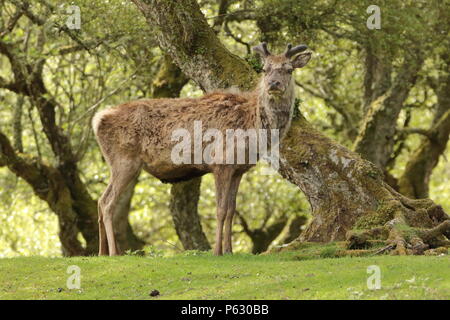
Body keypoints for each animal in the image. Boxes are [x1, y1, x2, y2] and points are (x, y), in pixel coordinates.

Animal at [91, 43, 310, 256]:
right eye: (265, 69)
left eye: (289, 70)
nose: (273, 84)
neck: (252, 126)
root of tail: (97, 119)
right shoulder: (220, 162)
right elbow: (220, 210)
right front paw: (217, 251)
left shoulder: (238, 169)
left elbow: (231, 210)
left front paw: (229, 250)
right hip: (124, 161)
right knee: (107, 203)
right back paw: (114, 252)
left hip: (120, 164)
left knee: (101, 201)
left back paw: (101, 251)